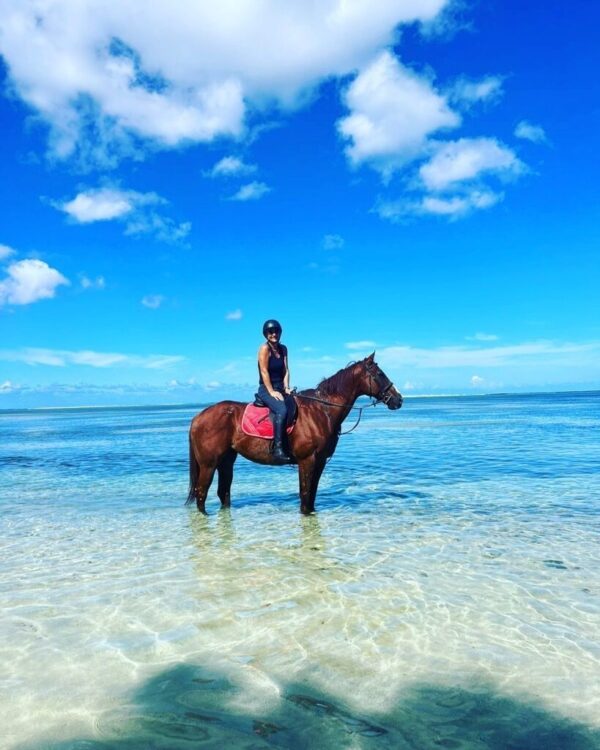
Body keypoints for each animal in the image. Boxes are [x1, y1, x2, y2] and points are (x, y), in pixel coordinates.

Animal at [187, 353, 403, 514]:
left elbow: (312, 496)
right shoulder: (307, 460)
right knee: (201, 494)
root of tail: (198, 417)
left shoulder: (320, 461)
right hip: (208, 464)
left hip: (226, 461)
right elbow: (305, 497)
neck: (322, 410)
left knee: (223, 493)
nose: (398, 399)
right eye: (379, 374)